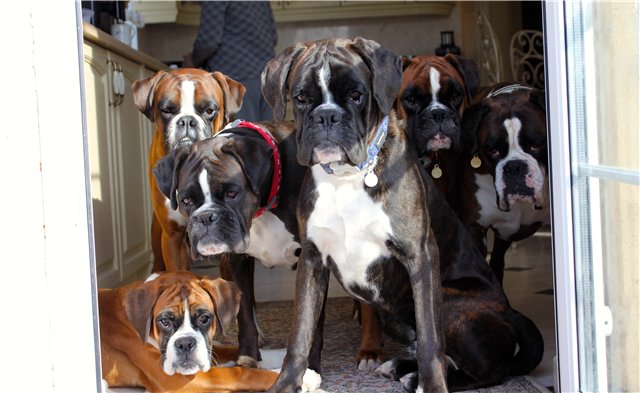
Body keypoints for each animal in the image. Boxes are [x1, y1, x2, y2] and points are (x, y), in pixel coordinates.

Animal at [262, 38, 450, 392]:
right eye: (301, 98)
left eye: (355, 95)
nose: (327, 116)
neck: (346, 177)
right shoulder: (312, 262)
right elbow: (301, 334)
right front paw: (290, 382)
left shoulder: (420, 256)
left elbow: (431, 337)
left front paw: (433, 385)